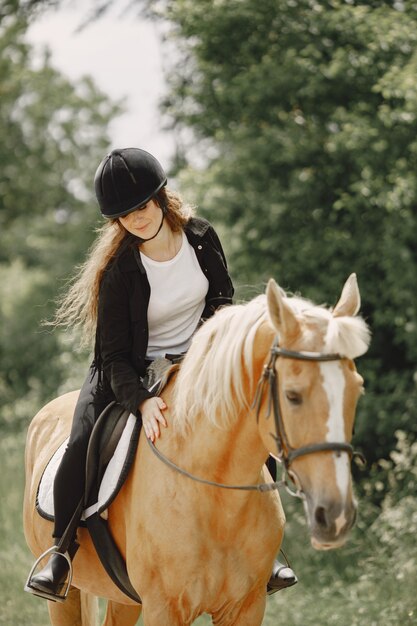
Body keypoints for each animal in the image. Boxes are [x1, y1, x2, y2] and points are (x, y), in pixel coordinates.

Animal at [23, 274, 368, 624]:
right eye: (293, 396)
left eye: (357, 390)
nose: (336, 516)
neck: (215, 498)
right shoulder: (164, 608)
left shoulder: (246, 607)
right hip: (67, 596)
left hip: (125, 599)